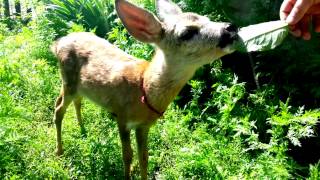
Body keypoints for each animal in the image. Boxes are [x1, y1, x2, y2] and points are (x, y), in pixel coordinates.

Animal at [52, 0, 238, 178]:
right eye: (187, 33)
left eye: (207, 18)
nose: (230, 27)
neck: (143, 89)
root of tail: (58, 43)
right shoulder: (121, 116)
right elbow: (127, 155)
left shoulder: (144, 126)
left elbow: (144, 158)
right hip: (68, 80)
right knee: (59, 109)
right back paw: (59, 151)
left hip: (77, 86)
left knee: (74, 101)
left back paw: (82, 129)